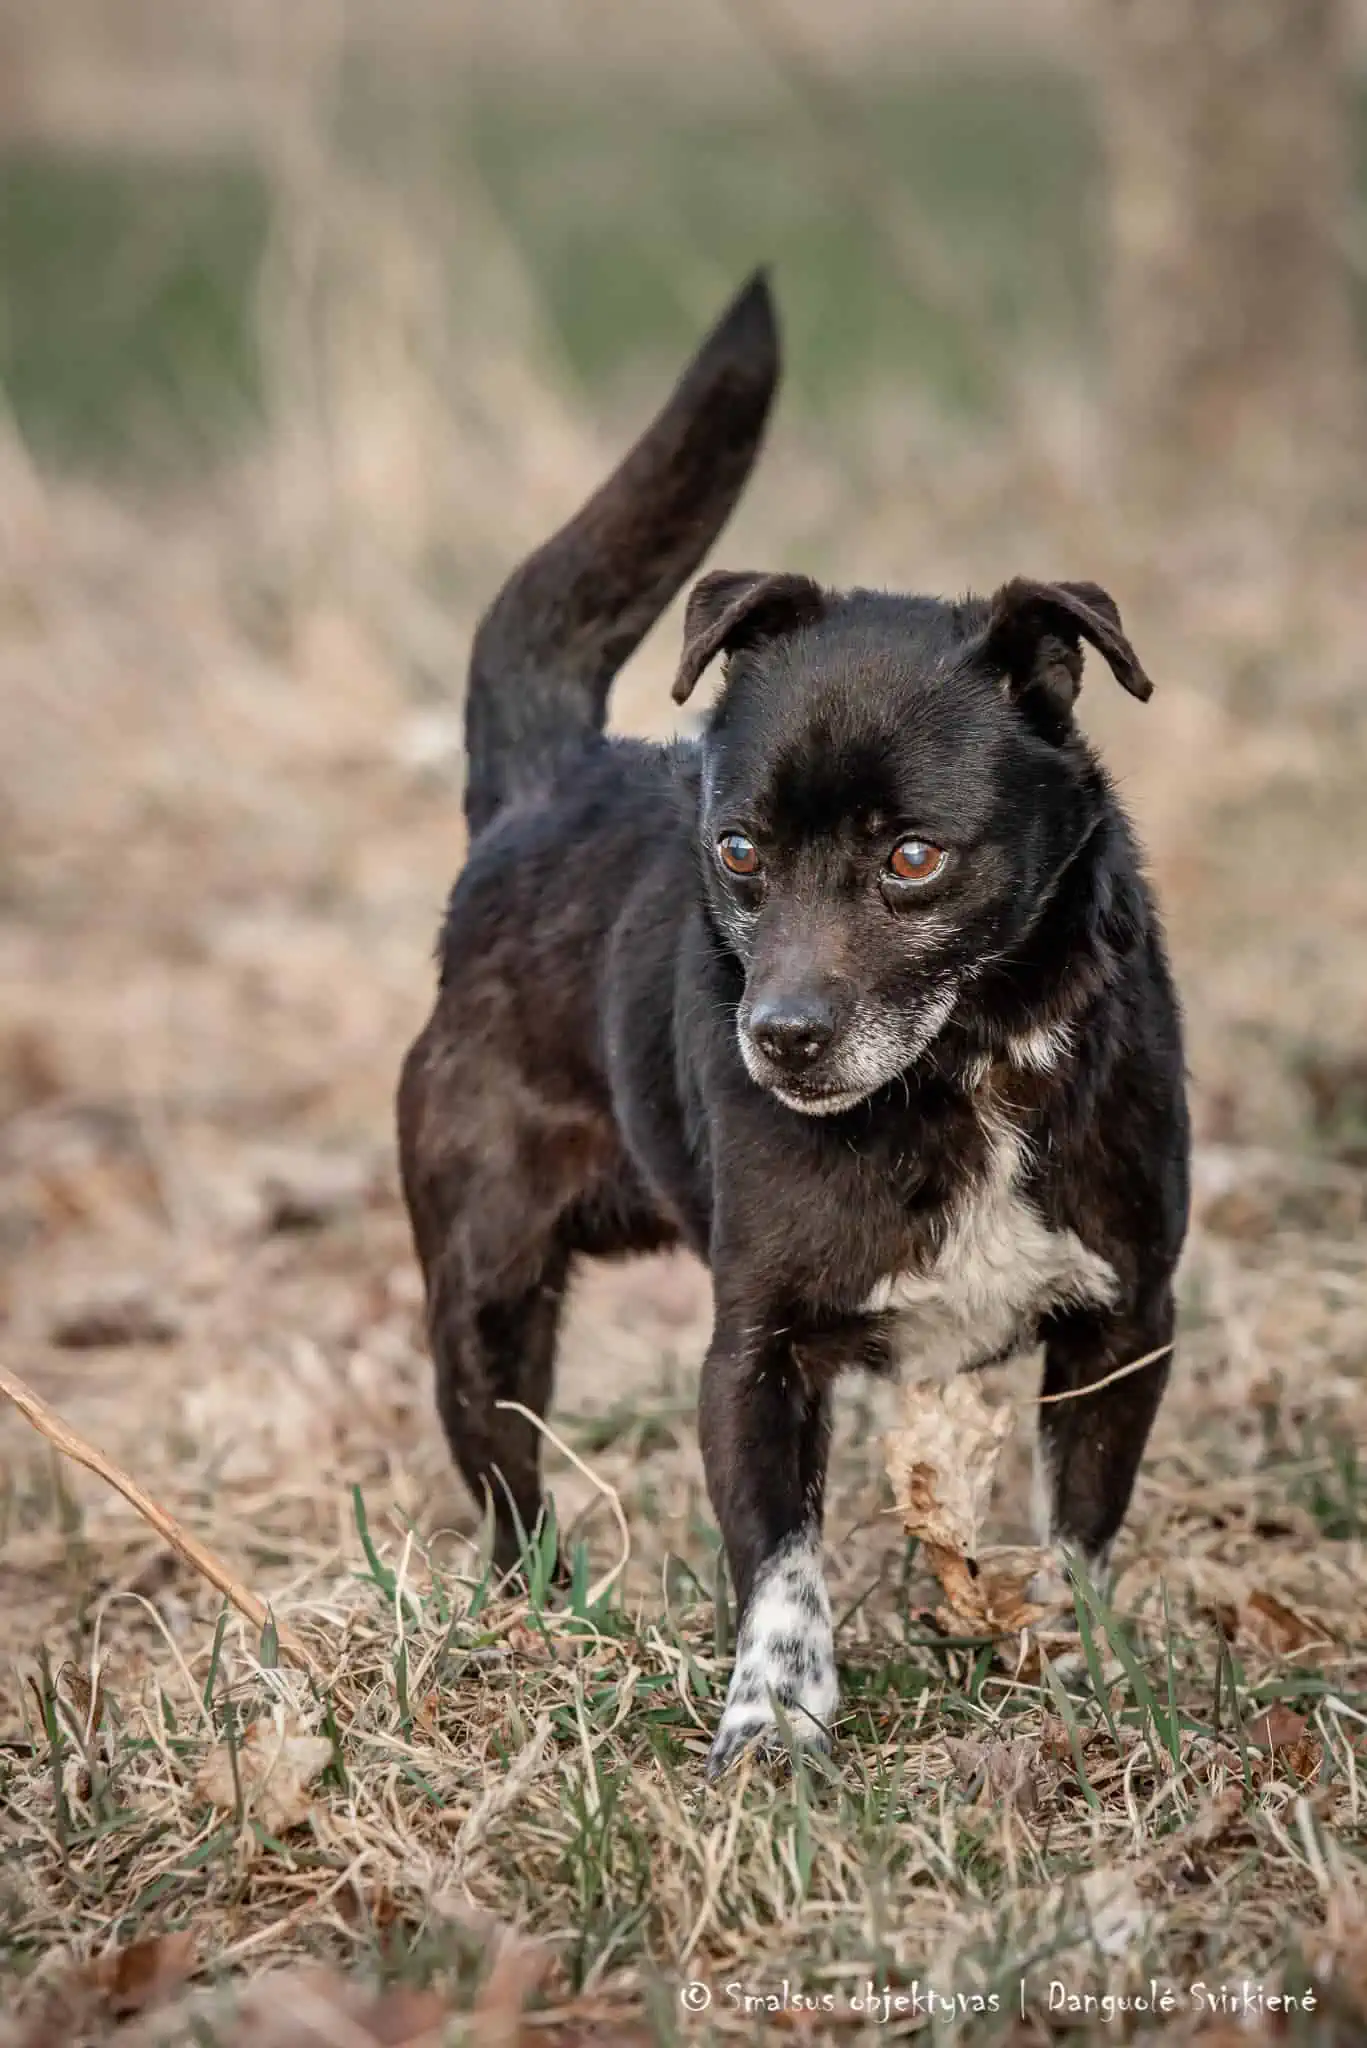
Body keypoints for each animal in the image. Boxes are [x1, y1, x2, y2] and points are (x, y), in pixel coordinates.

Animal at [398, 273, 1189, 1776]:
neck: (964, 1070)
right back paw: (538, 1622)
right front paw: (771, 1718)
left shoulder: (1123, 1326)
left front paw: (1077, 1673)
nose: (779, 1037)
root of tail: (536, 792)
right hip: (482, 1291)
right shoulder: (752, 1354)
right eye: (740, 850)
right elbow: (780, 1558)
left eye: (913, 859)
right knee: (508, 1483)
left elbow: (1080, 1526)